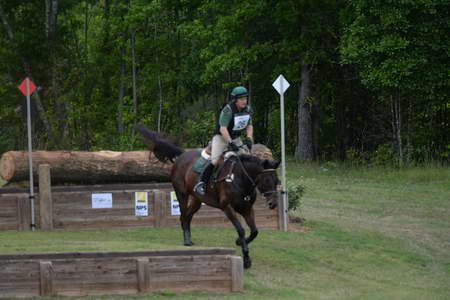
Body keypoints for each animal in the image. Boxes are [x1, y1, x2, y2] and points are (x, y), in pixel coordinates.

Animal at [135, 124, 280, 270]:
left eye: (277, 180)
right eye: (266, 180)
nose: (273, 204)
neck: (240, 178)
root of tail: (183, 154)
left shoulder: (247, 208)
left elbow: (254, 231)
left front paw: (240, 242)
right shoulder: (227, 207)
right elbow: (241, 229)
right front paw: (246, 259)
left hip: (197, 200)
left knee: (188, 216)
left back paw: (189, 238)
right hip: (182, 194)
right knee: (183, 215)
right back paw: (186, 240)